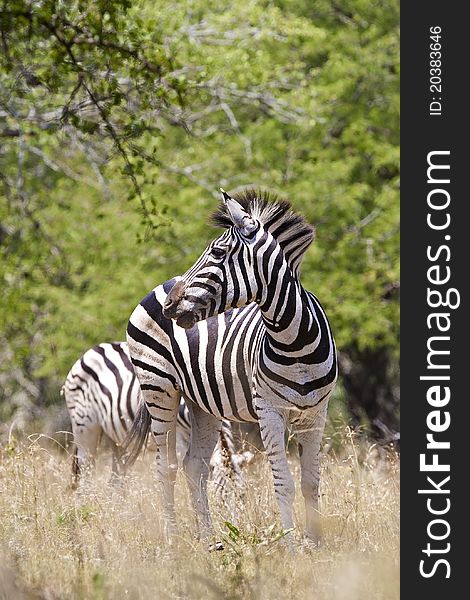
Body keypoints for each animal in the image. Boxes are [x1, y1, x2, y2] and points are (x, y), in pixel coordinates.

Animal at [63, 342, 252, 488]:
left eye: (243, 496)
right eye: (223, 495)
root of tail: (95, 349)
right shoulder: (177, 435)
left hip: (116, 438)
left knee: (115, 477)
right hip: (84, 426)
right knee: (86, 470)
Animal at [125, 190, 338, 548]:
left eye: (217, 252)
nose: (170, 305)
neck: (296, 342)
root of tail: (160, 285)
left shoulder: (315, 414)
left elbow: (311, 482)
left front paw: (316, 545)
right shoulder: (269, 410)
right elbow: (284, 482)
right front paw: (291, 545)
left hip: (201, 404)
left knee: (195, 466)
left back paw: (209, 539)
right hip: (158, 388)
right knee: (165, 467)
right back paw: (172, 541)